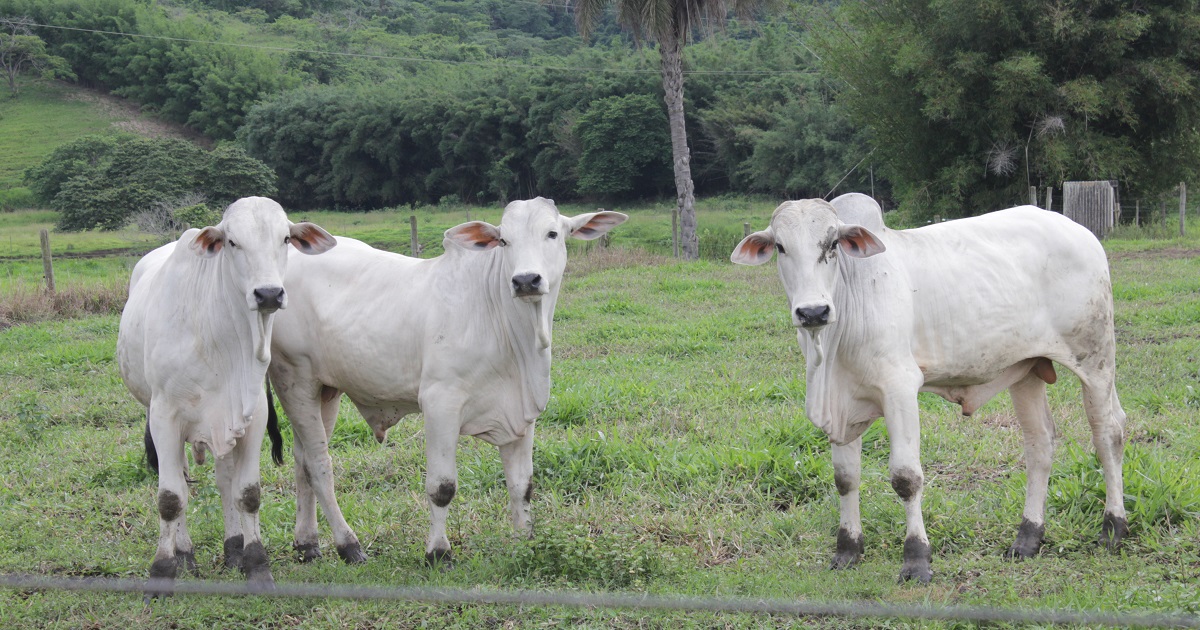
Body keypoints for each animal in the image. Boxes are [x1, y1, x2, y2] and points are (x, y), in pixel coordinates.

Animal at [118, 198, 333, 595]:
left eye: (285, 238)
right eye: (232, 242)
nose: (269, 294)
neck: (217, 338)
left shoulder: (250, 415)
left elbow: (246, 493)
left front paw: (256, 565)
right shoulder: (164, 417)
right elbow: (170, 499)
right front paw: (162, 570)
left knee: (223, 479)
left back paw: (233, 549)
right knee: (181, 481)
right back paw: (185, 553)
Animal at [270, 195, 628, 559]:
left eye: (552, 233)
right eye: (504, 240)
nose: (526, 280)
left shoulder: (522, 414)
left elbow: (522, 486)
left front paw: (524, 541)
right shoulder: (440, 403)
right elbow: (442, 487)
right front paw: (438, 552)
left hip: (325, 390)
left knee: (302, 461)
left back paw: (307, 543)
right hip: (294, 379)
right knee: (318, 465)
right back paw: (348, 544)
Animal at [724, 194, 1128, 583]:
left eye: (833, 243)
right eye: (780, 247)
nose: (812, 312)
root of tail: (1081, 231)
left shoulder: (900, 388)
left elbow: (906, 478)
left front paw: (916, 560)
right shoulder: (842, 406)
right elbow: (844, 478)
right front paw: (848, 550)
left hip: (1096, 360)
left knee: (1108, 434)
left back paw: (1114, 528)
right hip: (1026, 370)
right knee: (1040, 444)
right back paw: (1028, 537)